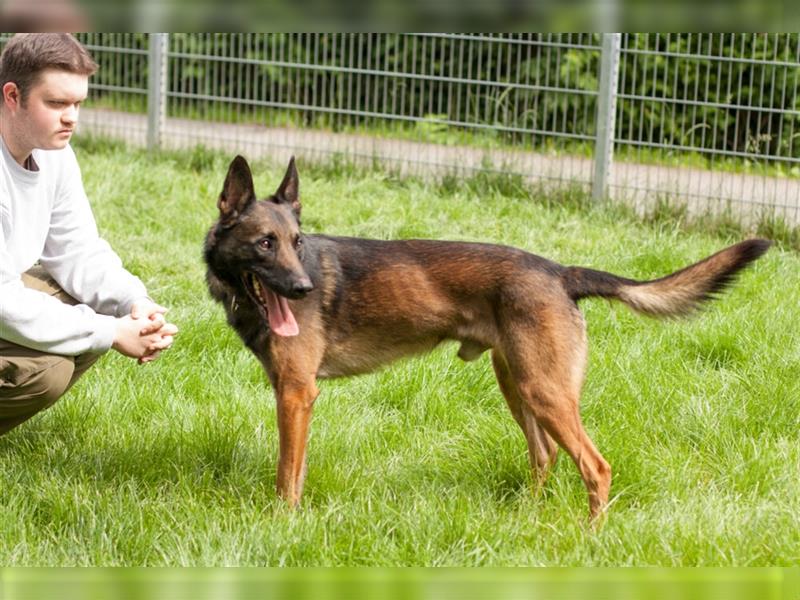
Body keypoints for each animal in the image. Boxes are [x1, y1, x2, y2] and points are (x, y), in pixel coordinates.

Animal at [203, 156, 772, 520]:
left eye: (297, 242)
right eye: (265, 243)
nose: (304, 287)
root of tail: (560, 273)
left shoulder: (297, 394)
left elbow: (286, 475)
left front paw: (282, 526)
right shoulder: (296, 397)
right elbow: (296, 472)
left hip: (544, 392)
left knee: (596, 467)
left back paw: (590, 540)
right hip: (519, 387)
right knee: (545, 456)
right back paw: (528, 519)